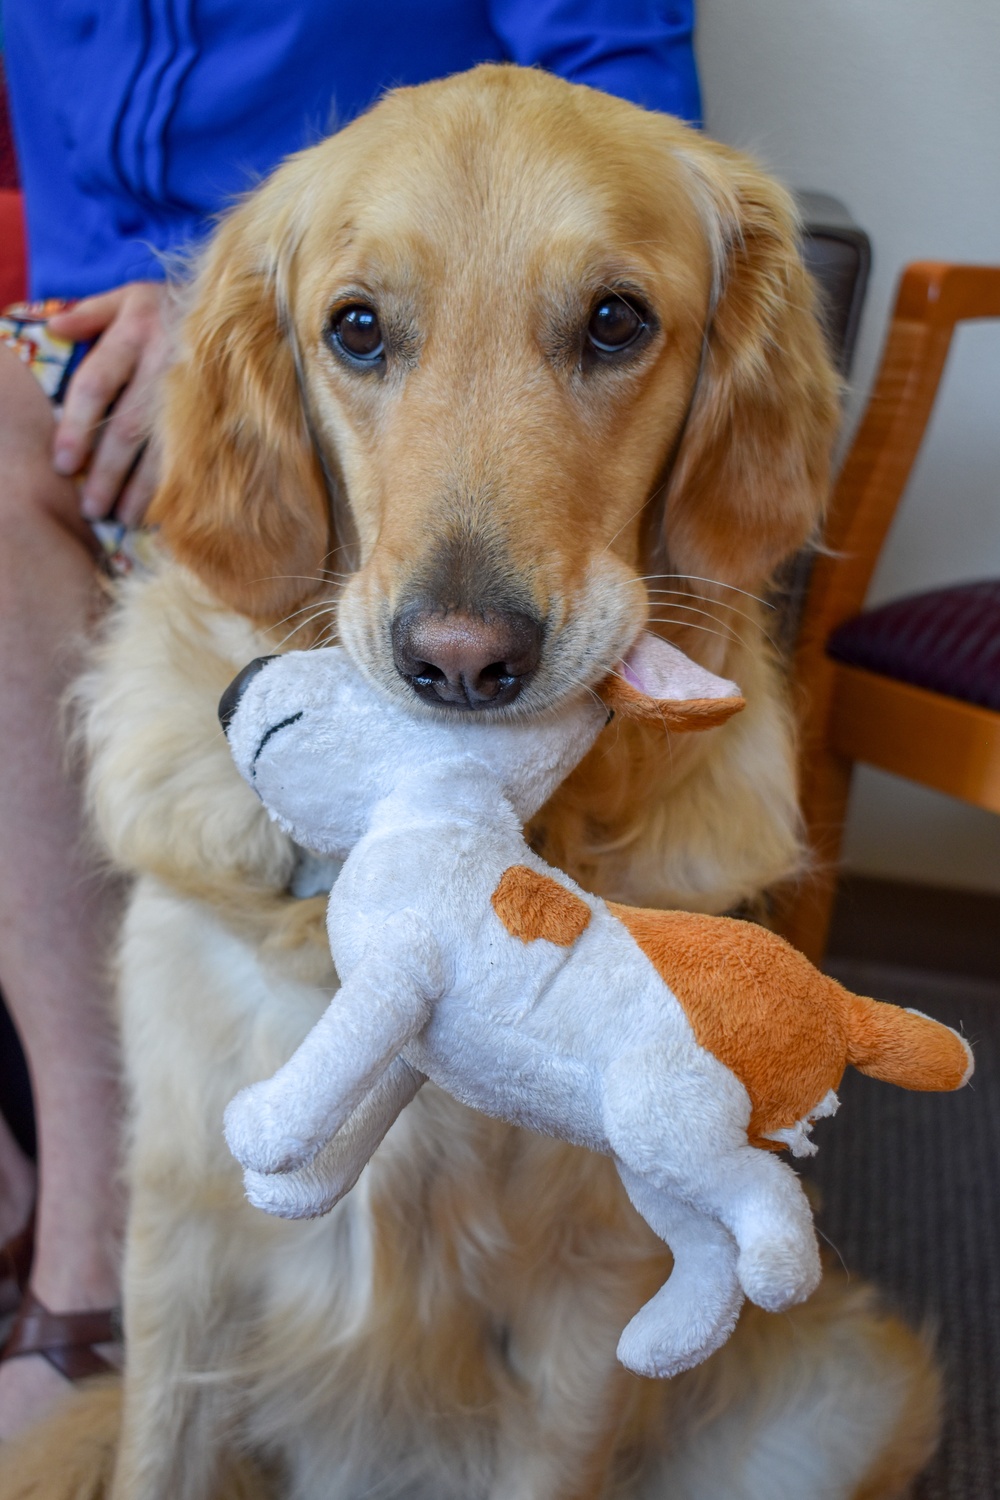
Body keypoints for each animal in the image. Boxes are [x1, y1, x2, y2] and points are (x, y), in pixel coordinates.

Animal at [0, 64, 941, 1500]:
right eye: (357, 330)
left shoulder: (592, 1304)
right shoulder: (179, 1234)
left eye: (615, 321)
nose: (461, 662)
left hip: (853, 1385)